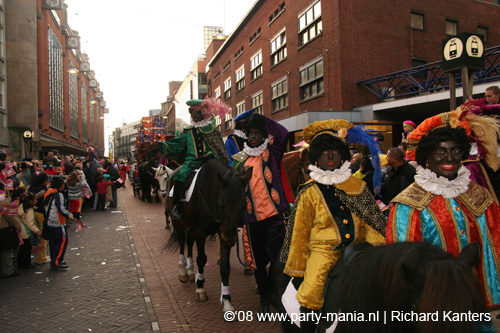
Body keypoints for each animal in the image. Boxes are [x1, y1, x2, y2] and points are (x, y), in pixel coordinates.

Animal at [164, 158, 252, 316]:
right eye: (221, 203)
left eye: (244, 204)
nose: (231, 240)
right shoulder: (201, 233)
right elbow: (201, 259)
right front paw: (200, 288)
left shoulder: (222, 233)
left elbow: (225, 267)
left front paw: (227, 300)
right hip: (177, 222)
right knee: (181, 241)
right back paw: (183, 271)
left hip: (190, 226)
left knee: (189, 242)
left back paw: (191, 271)